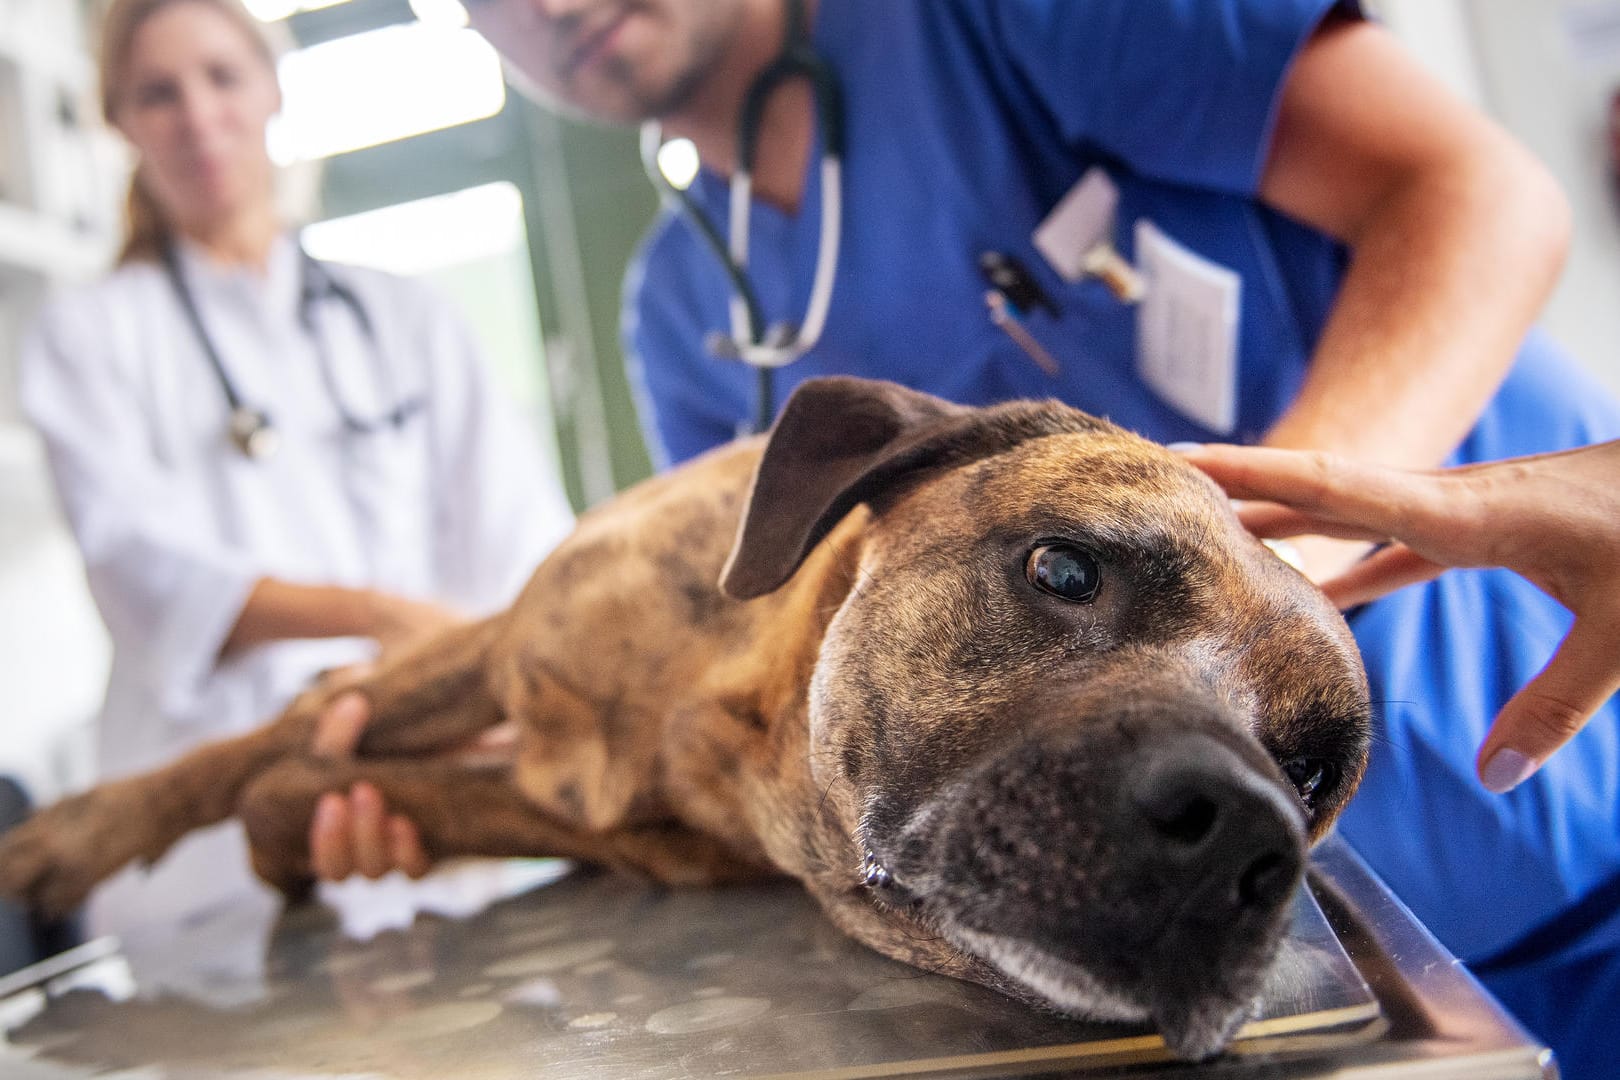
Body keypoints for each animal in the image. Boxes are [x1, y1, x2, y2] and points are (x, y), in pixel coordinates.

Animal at [0, 375, 1367, 1062]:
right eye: (1067, 568)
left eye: (1313, 777)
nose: (1242, 836)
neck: (734, 721)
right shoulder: (502, 650)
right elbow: (251, 751)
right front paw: (66, 841)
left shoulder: (592, 820)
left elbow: (319, 784)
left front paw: (293, 826)